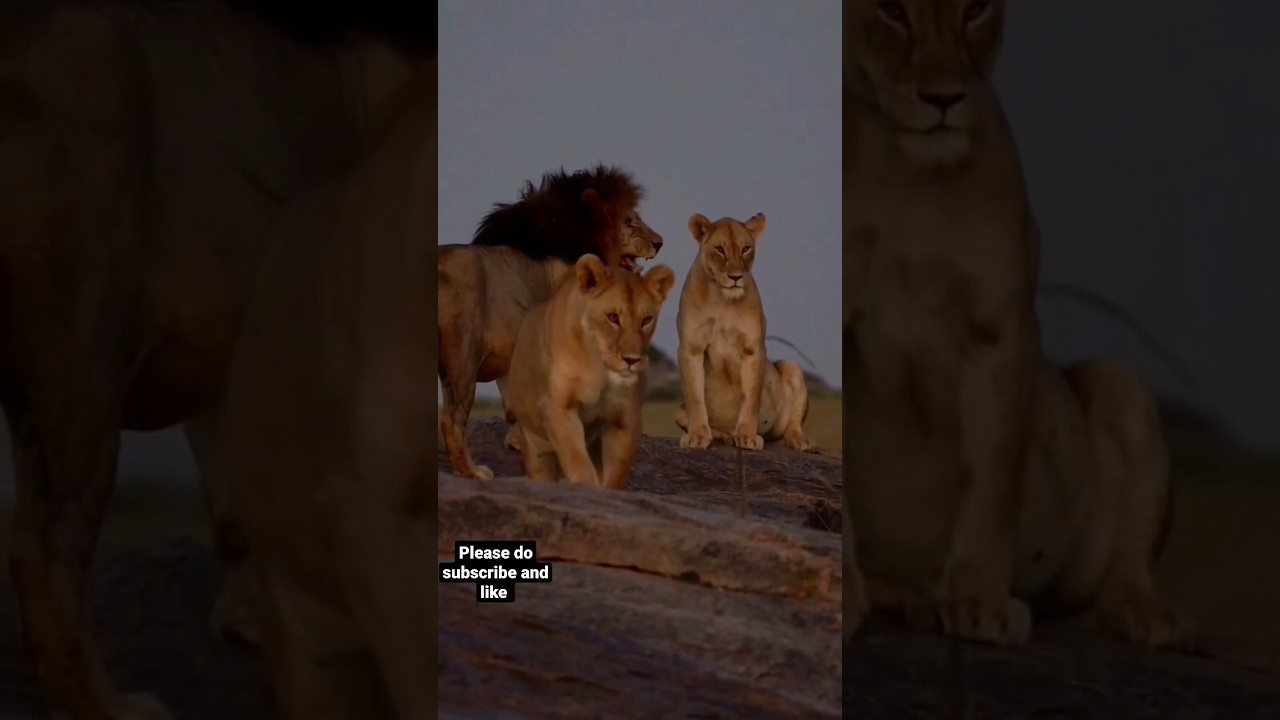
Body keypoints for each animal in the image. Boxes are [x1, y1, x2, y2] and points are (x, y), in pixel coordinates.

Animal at [438, 165, 664, 480]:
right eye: (630, 221)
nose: (659, 242)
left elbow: (513, 402)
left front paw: (520, 441)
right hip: (463, 356)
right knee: (452, 417)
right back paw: (472, 471)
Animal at [504, 255, 676, 488]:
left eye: (646, 320)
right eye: (613, 317)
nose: (631, 360)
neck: (602, 370)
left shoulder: (625, 417)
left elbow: (615, 474)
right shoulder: (558, 406)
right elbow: (577, 461)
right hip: (534, 447)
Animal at [672, 213, 818, 454]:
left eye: (746, 249)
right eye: (720, 249)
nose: (735, 277)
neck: (722, 300)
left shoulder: (753, 349)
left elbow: (750, 399)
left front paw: (747, 437)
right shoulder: (690, 348)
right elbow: (695, 398)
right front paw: (697, 436)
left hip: (791, 367)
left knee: (791, 427)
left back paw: (799, 441)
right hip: (678, 411)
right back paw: (725, 435)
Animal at [842, 0, 1188, 648]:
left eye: (976, 10)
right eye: (894, 13)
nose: (944, 98)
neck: (904, 175)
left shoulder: (1000, 329)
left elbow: (991, 480)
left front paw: (979, 602)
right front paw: (843, 601)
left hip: (1121, 382)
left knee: (1125, 565)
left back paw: (1145, 615)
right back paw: (910, 601)